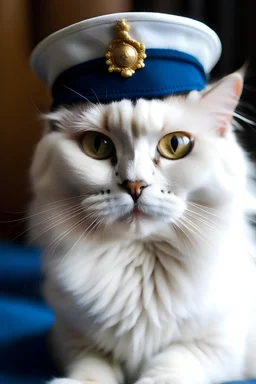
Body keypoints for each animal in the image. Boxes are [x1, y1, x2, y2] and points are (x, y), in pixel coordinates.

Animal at [28, 70, 256, 384]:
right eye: (97, 145)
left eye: (176, 145)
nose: (134, 185)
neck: (141, 267)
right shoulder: (69, 336)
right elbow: (91, 368)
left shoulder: (218, 345)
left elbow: (172, 363)